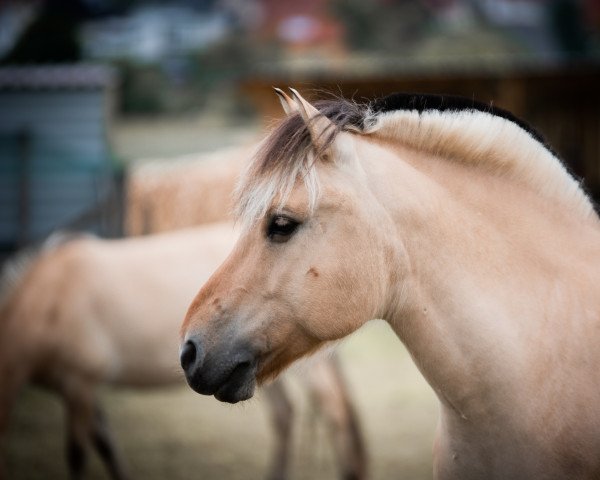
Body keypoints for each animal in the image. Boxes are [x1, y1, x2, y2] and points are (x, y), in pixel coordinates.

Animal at [0, 221, 364, 480]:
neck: (50, 298)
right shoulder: (80, 389)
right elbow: (106, 445)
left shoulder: (80, 381)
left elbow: (77, 455)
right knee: (285, 414)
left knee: (334, 411)